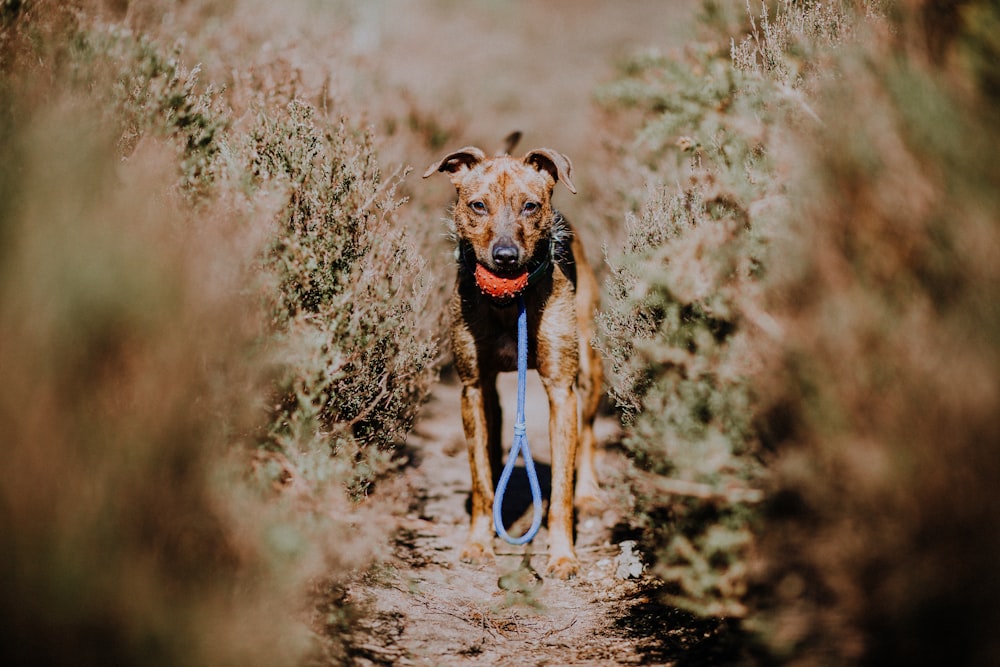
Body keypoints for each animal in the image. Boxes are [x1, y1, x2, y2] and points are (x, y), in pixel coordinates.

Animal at [424, 136, 600, 580]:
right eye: (477, 205)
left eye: (530, 206)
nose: (505, 256)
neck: (507, 304)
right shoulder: (472, 387)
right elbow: (482, 480)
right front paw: (478, 543)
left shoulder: (561, 390)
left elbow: (561, 490)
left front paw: (562, 555)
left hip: (590, 368)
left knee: (590, 434)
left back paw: (591, 492)